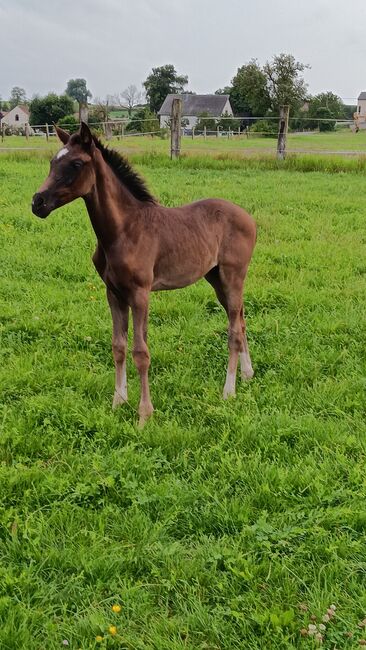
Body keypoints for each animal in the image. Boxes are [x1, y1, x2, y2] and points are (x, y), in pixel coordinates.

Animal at [32, 121, 258, 426]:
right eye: (52, 162)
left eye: (76, 164)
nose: (37, 202)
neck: (123, 230)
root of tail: (249, 218)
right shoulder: (113, 293)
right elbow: (118, 346)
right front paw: (118, 402)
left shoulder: (140, 294)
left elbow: (141, 352)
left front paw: (143, 414)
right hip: (216, 279)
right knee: (241, 320)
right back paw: (247, 374)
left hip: (233, 276)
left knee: (234, 328)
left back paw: (228, 390)